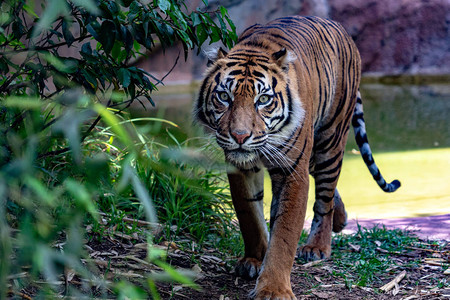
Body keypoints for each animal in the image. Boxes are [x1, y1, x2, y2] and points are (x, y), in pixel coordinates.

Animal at [193, 15, 400, 298]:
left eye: (263, 99)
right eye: (224, 96)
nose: (240, 136)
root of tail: (341, 29)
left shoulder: (293, 171)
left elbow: (285, 233)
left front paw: (273, 289)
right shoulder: (240, 167)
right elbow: (249, 215)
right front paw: (255, 258)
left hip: (329, 140)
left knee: (325, 197)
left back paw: (318, 246)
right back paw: (341, 219)